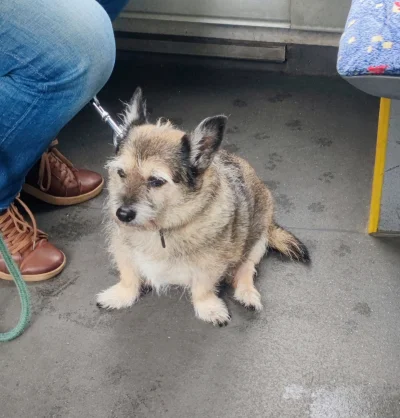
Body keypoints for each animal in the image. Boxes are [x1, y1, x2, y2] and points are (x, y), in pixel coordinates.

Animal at [97, 86, 310, 324]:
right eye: (121, 172)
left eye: (156, 181)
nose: (122, 214)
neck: (160, 228)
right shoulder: (123, 248)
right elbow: (129, 275)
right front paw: (122, 294)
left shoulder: (211, 263)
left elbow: (203, 287)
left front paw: (208, 307)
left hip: (256, 240)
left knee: (245, 268)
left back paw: (247, 293)